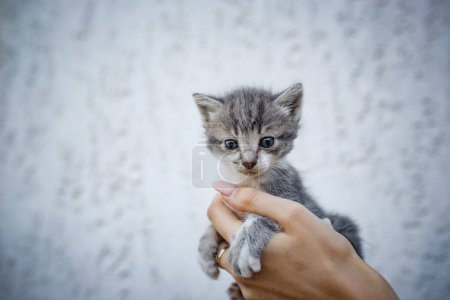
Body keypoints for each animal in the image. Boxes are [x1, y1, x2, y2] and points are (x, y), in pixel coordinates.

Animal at [193, 82, 362, 282]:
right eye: (230, 144)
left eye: (267, 141)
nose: (248, 162)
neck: (250, 181)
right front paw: (205, 248)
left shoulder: (293, 196)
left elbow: (264, 217)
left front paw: (246, 241)